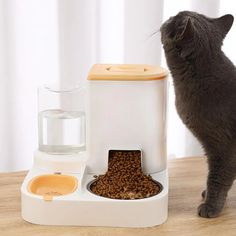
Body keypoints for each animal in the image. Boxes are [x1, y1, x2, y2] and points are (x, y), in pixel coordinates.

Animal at [160, 11, 236, 218]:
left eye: (173, 19)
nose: (169, 16)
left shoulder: (224, 146)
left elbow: (217, 177)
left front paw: (210, 207)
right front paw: (207, 195)